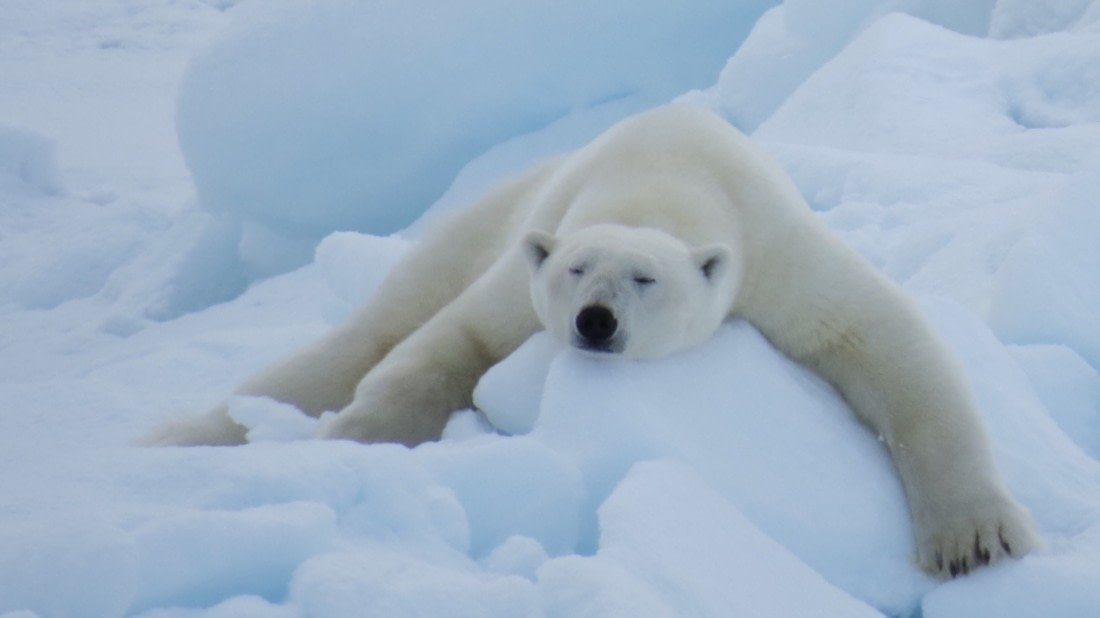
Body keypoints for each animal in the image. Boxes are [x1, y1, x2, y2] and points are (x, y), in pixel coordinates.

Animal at [147, 104, 1038, 578]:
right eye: (577, 269)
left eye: (645, 279)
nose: (595, 322)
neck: (664, 178)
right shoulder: (526, 270)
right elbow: (450, 339)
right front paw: (353, 438)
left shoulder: (776, 255)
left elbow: (890, 347)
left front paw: (976, 542)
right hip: (477, 224)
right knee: (364, 335)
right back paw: (188, 434)